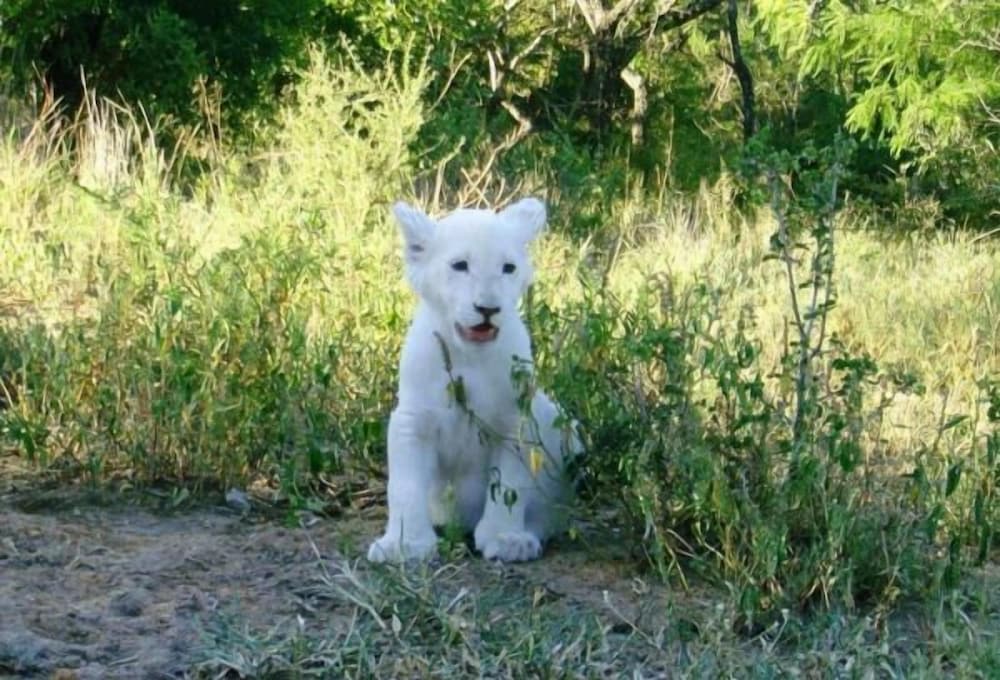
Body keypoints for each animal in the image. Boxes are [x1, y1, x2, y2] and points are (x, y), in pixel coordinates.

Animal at [366, 197, 581, 564]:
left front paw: (505, 538)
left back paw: (527, 537)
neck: (469, 358)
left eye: (508, 267)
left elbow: (509, 483)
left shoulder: (515, 420)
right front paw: (404, 546)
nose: (488, 308)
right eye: (460, 265)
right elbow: (405, 486)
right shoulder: (413, 420)